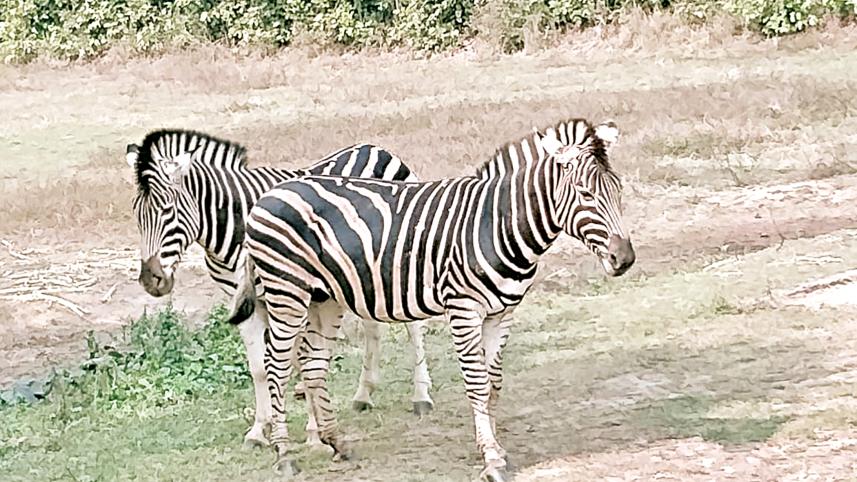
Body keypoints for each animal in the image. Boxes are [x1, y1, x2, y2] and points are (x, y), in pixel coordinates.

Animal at [126, 129, 435, 448]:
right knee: (372, 325)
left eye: (167, 210)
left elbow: (304, 359)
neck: (238, 224)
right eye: (137, 213)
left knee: (413, 327)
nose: (150, 280)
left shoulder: (298, 295)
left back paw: (421, 395)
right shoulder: (246, 303)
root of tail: (374, 147)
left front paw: (313, 430)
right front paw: (260, 429)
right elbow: (261, 367)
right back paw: (364, 393)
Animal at [226, 118, 635, 481]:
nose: (625, 259)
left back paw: (336, 442)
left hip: (323, 298)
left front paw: (497, 448)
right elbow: (477, 383)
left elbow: (494, 383)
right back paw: (284, 456)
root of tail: (268, 195)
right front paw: (491, 460)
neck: (496, 224)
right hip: (287, 292)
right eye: (585, 194)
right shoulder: (464, 309)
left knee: (312, 364)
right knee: (276, 367)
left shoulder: (503, 313)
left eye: (617, 190)